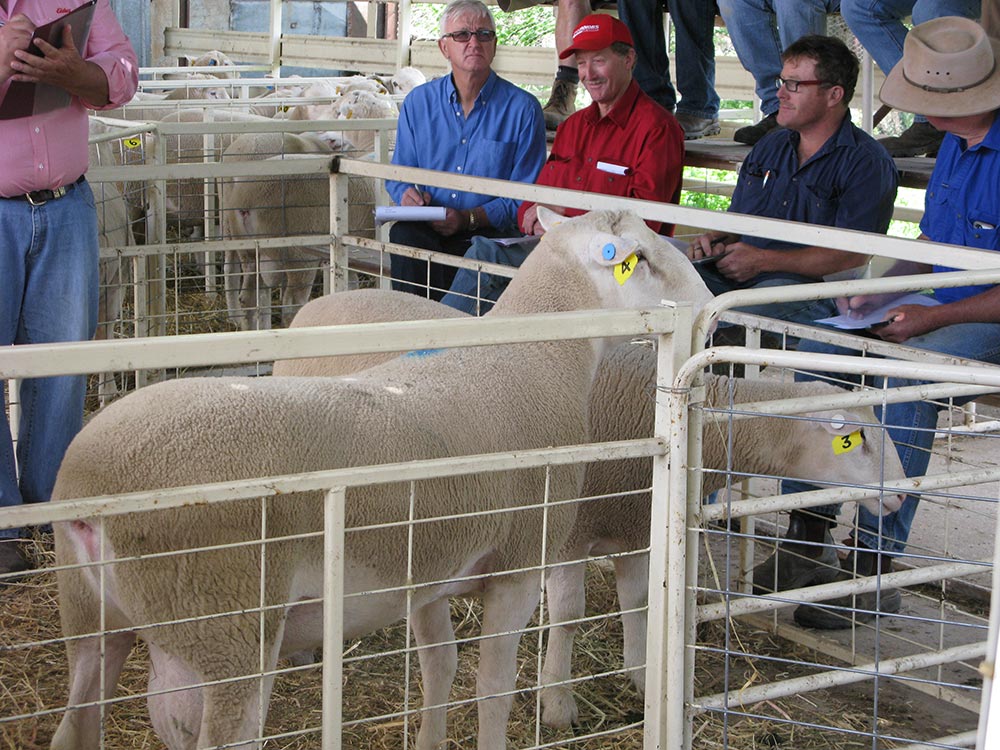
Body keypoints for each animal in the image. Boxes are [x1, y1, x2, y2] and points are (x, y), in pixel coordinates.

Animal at [48, 209, 720, 750]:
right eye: (644, 258)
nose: (711, 310)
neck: (539, 356)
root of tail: (88, 491)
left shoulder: (428, 572)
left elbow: (439, 669)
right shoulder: (519, 565)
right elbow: (494, 688)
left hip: (92, 617)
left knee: (76, 726)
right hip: (224, 632)